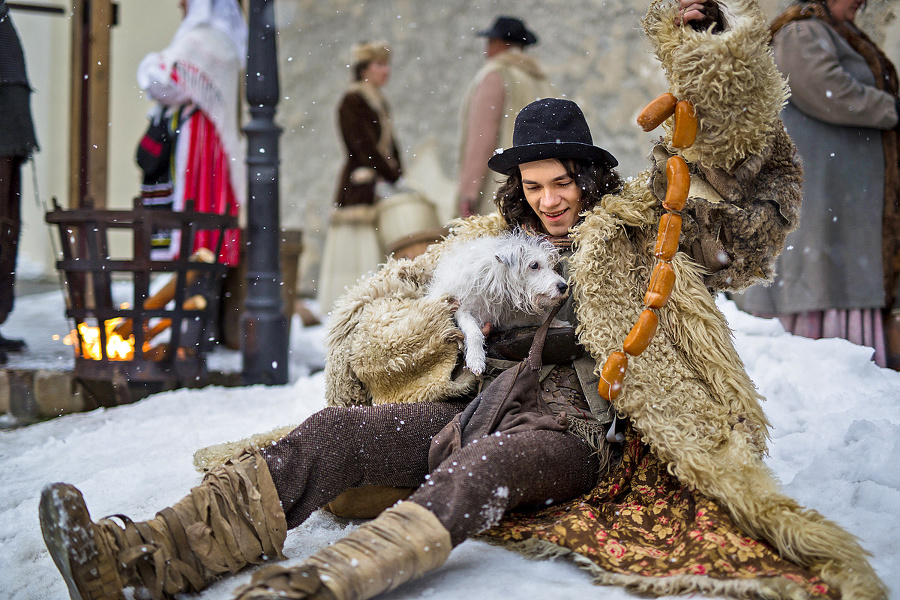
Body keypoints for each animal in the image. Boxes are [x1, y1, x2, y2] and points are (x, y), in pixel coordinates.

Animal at [426, 231, 568, 376]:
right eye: (534, 265)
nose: (564, 286)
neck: (496, 282)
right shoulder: (462, 310)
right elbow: (475, 332)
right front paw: (476, 358)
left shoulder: (507, 318)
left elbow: (537, 318)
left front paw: (557, 323)